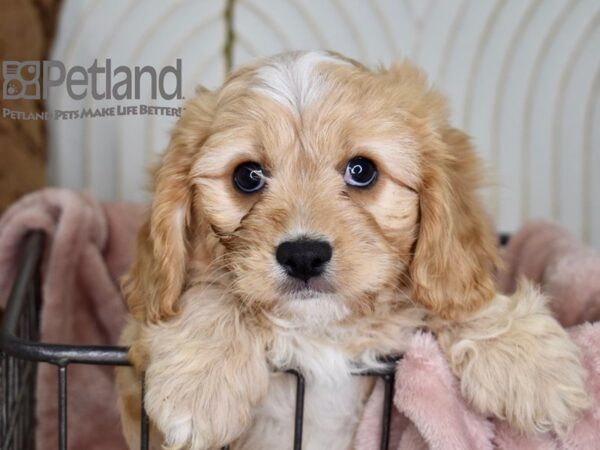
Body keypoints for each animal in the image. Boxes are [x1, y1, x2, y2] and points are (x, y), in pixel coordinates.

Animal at [115, 51, 588, 448]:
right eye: (246, 176)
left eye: (362, 171)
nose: (303, 255)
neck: (319, 331)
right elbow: (211, 291)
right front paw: (201, 385)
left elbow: (449, 296)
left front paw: (528, 361)